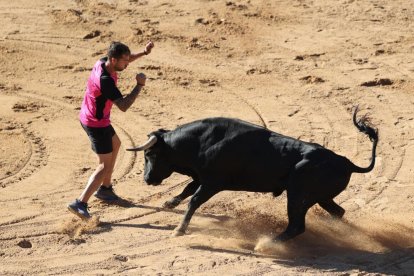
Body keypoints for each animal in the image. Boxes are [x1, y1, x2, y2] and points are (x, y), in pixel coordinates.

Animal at [128, 108, 376, 242]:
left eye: (149, 154)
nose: (147, 179)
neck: (202, 141)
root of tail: (347, 163)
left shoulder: (212, 183)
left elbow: (194, 199)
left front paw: (179, 230)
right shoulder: (201, 178)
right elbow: (187, 190)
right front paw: (169, 203)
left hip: (298, 196)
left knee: (296, 226)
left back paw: (268, 243)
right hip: (320, 197)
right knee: (338, 212)